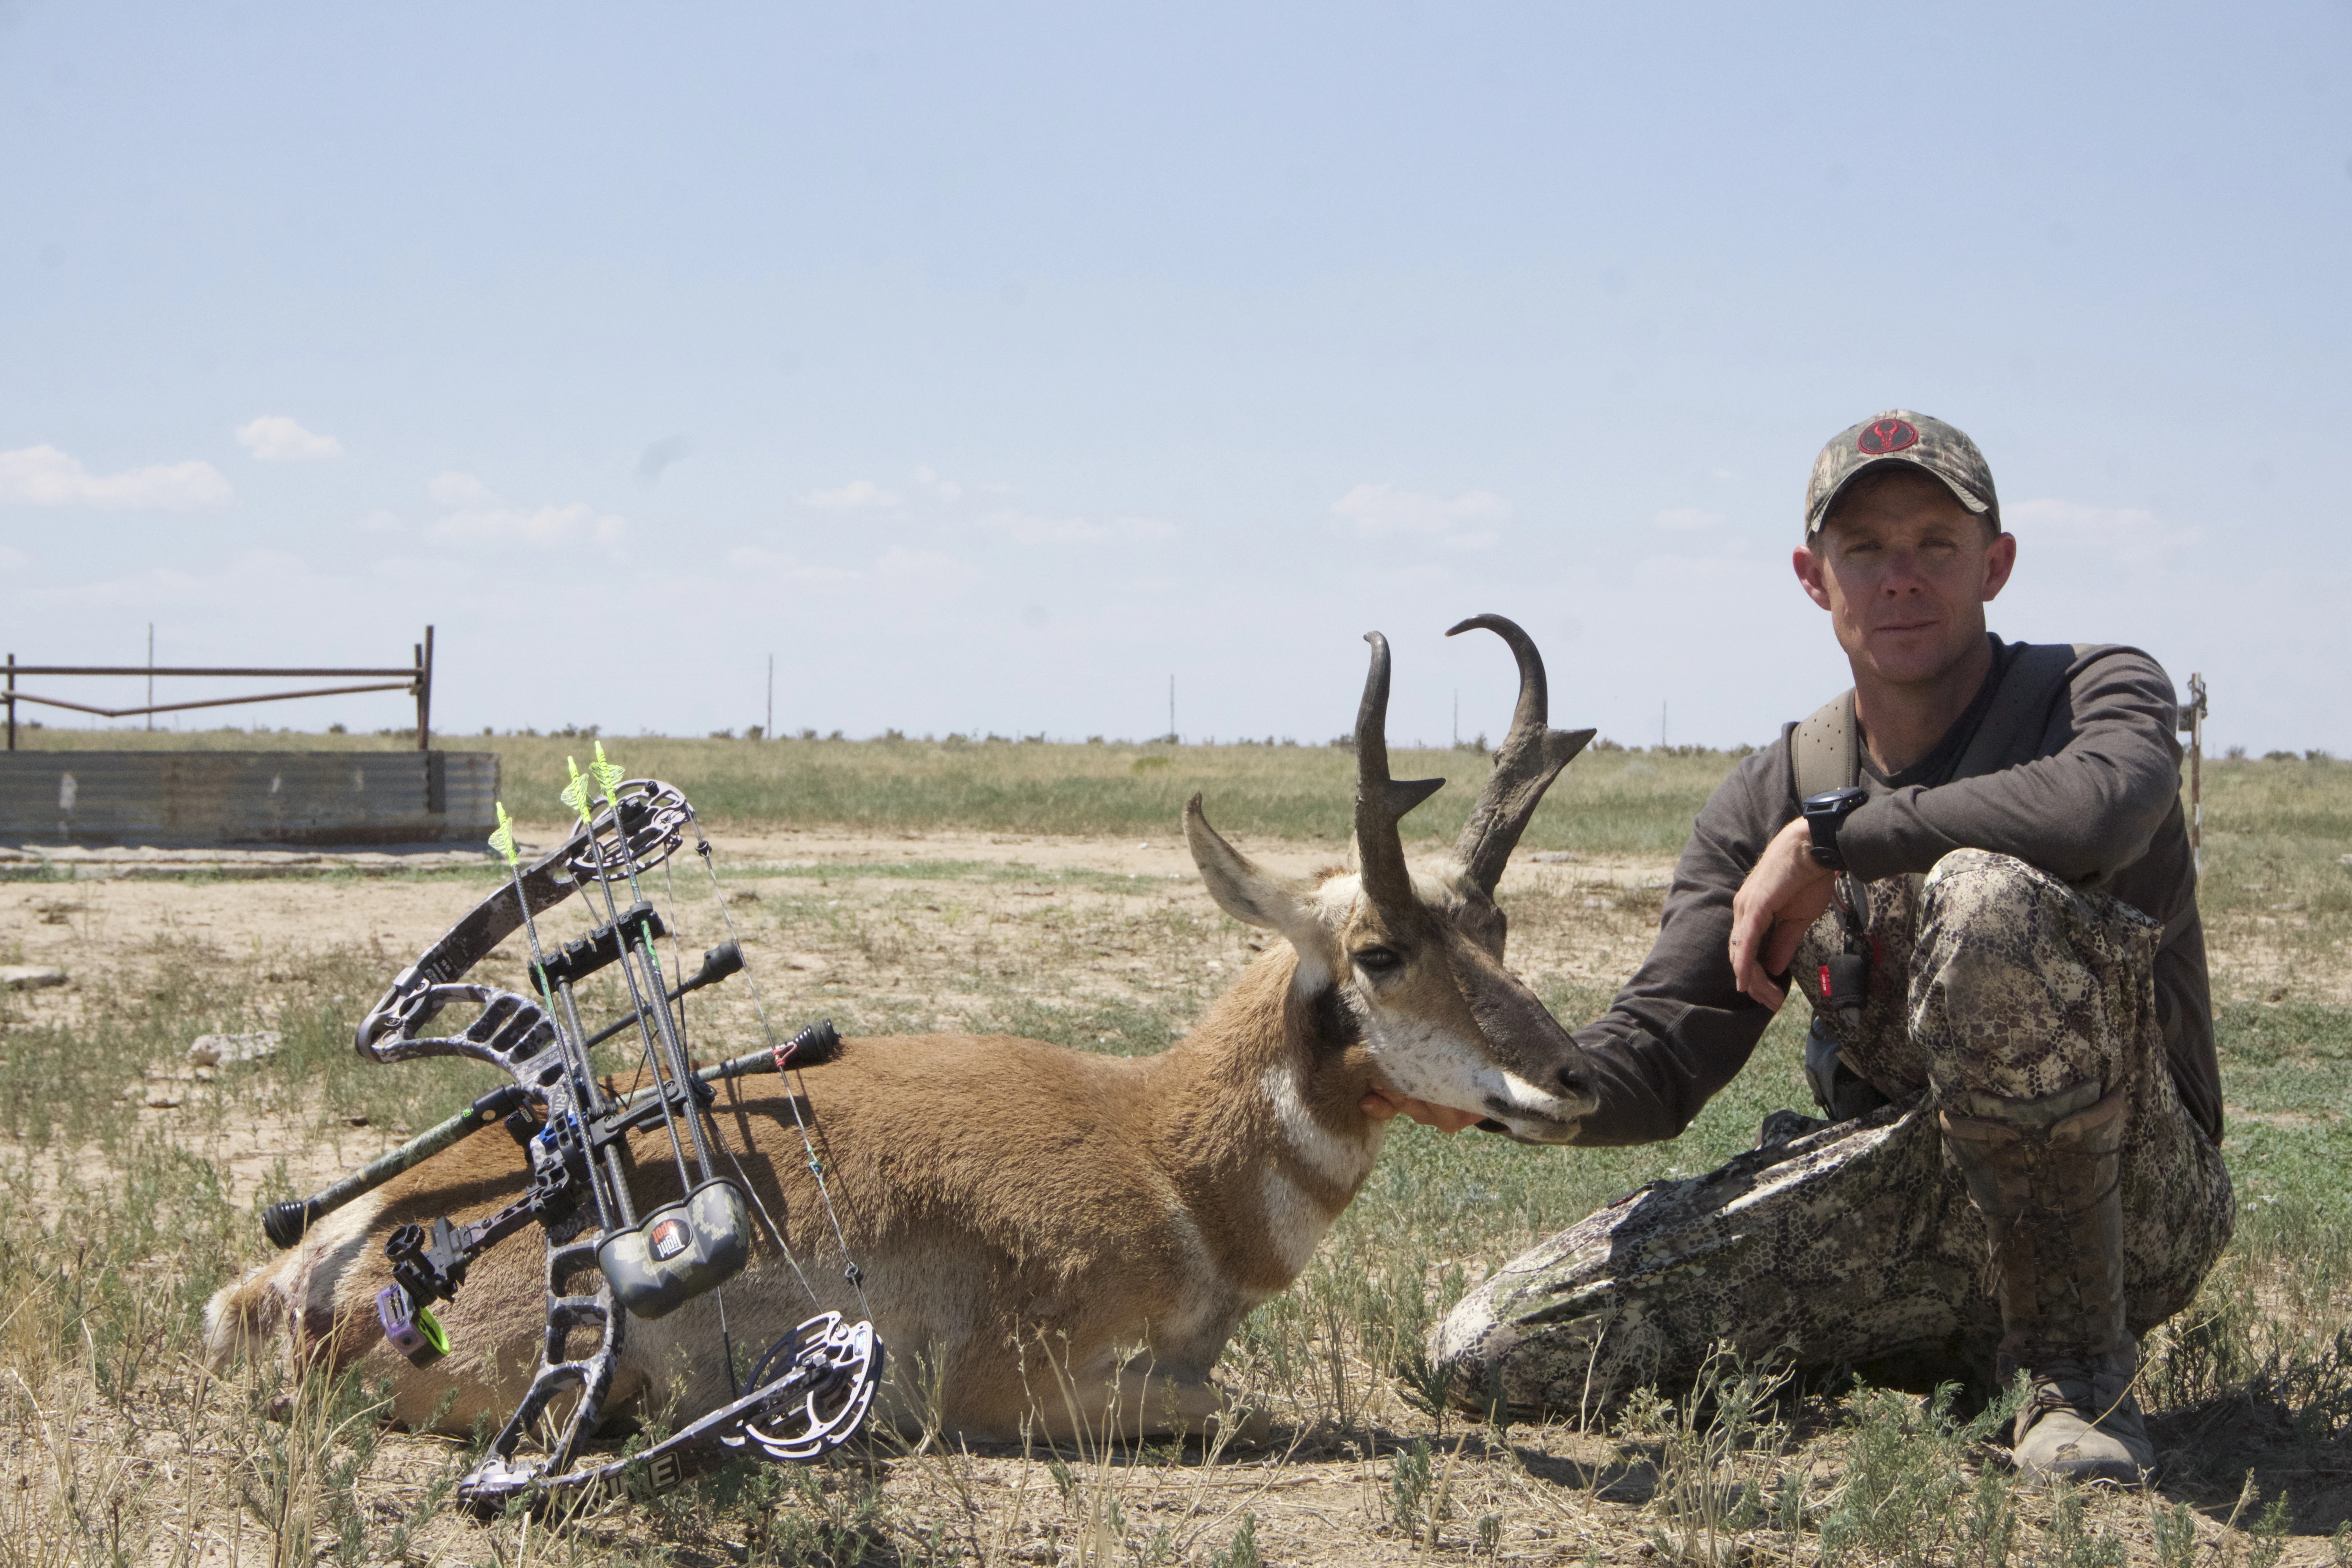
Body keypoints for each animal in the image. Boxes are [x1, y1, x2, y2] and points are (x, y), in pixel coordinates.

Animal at [207, 616, 1599, 1448]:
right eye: (1380, 952)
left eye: (1500, 925)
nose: (1578, 1076)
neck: (1161, 1149)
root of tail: (314, 1263)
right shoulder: (1028, 1388)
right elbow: (1240, 1408)